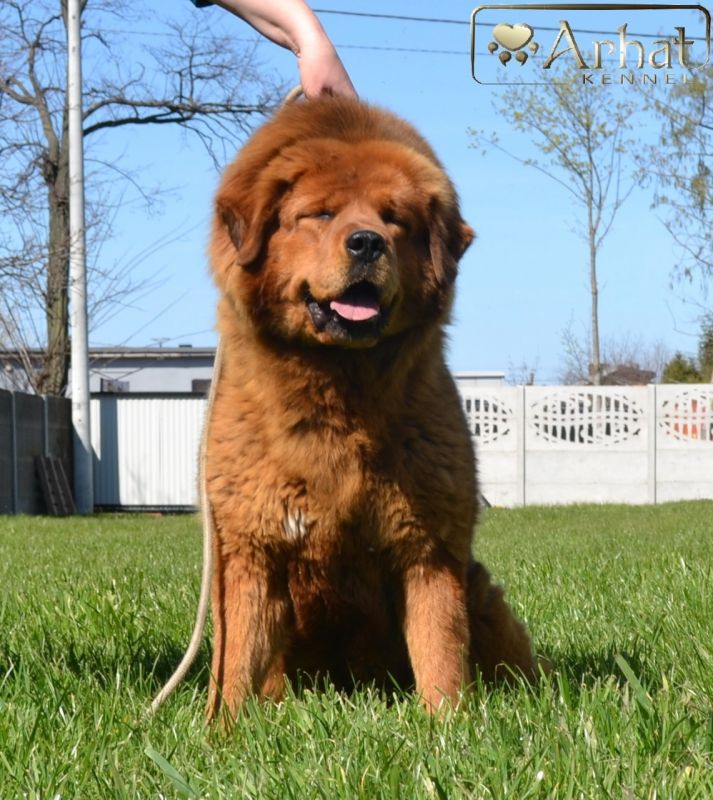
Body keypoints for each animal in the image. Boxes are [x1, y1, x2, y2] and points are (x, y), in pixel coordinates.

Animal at [205, 96, 536, 719]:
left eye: (393, 219)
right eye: (319, 214)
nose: (365, 242)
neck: (341, 389)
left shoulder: (427, 550)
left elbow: (440, 652)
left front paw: (448, 726)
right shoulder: (251, 551)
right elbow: (235, 662)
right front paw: (223, 730)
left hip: (481, 594)